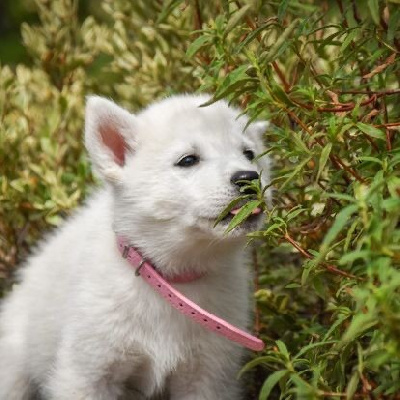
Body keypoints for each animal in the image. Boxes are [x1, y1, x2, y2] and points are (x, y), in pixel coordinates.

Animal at [0, 94, 268, 400]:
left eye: (249, 154)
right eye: (188, 160)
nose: (248, 178)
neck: (171, 282)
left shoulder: (206, 377)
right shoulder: (87, 371)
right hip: (13, 368)